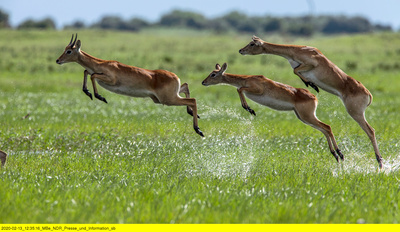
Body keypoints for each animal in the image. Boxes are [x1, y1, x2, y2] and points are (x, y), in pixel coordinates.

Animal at [56, 33, 205, 137]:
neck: (101, 64)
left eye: (69, 51)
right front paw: (88, 92)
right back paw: (193, 115)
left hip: (168, 99)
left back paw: (198, 130)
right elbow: (87, 71)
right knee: (186, 86)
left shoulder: (110, 79)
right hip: (165, 98)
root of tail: (175, 76)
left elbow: (92, 75)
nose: (58, 60)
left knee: (193, 100)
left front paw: (100, 97)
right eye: (65, 49)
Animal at [203, 62, 344, 162]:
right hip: (303, 117)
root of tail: (314, 97)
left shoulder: (256, 90)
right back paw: (336, 154)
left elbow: (239, 89)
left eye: (213, 74)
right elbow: (239, 89)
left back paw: (339, 153)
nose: (203, 82)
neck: (247, 79)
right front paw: (249, 109)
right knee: (324, 129)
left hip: (307, 116)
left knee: (327, 127)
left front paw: (249, 109)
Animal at [239, 35, 382, 168]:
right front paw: (311, 84)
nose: (241, 50)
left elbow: (295, 70)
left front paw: (312, 85)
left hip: (355, 113)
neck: (299, 50)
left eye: (252, 44)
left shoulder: (310, 64)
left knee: (370, 131)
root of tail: (368, 93)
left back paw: (378, 160)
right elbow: (296, 71)